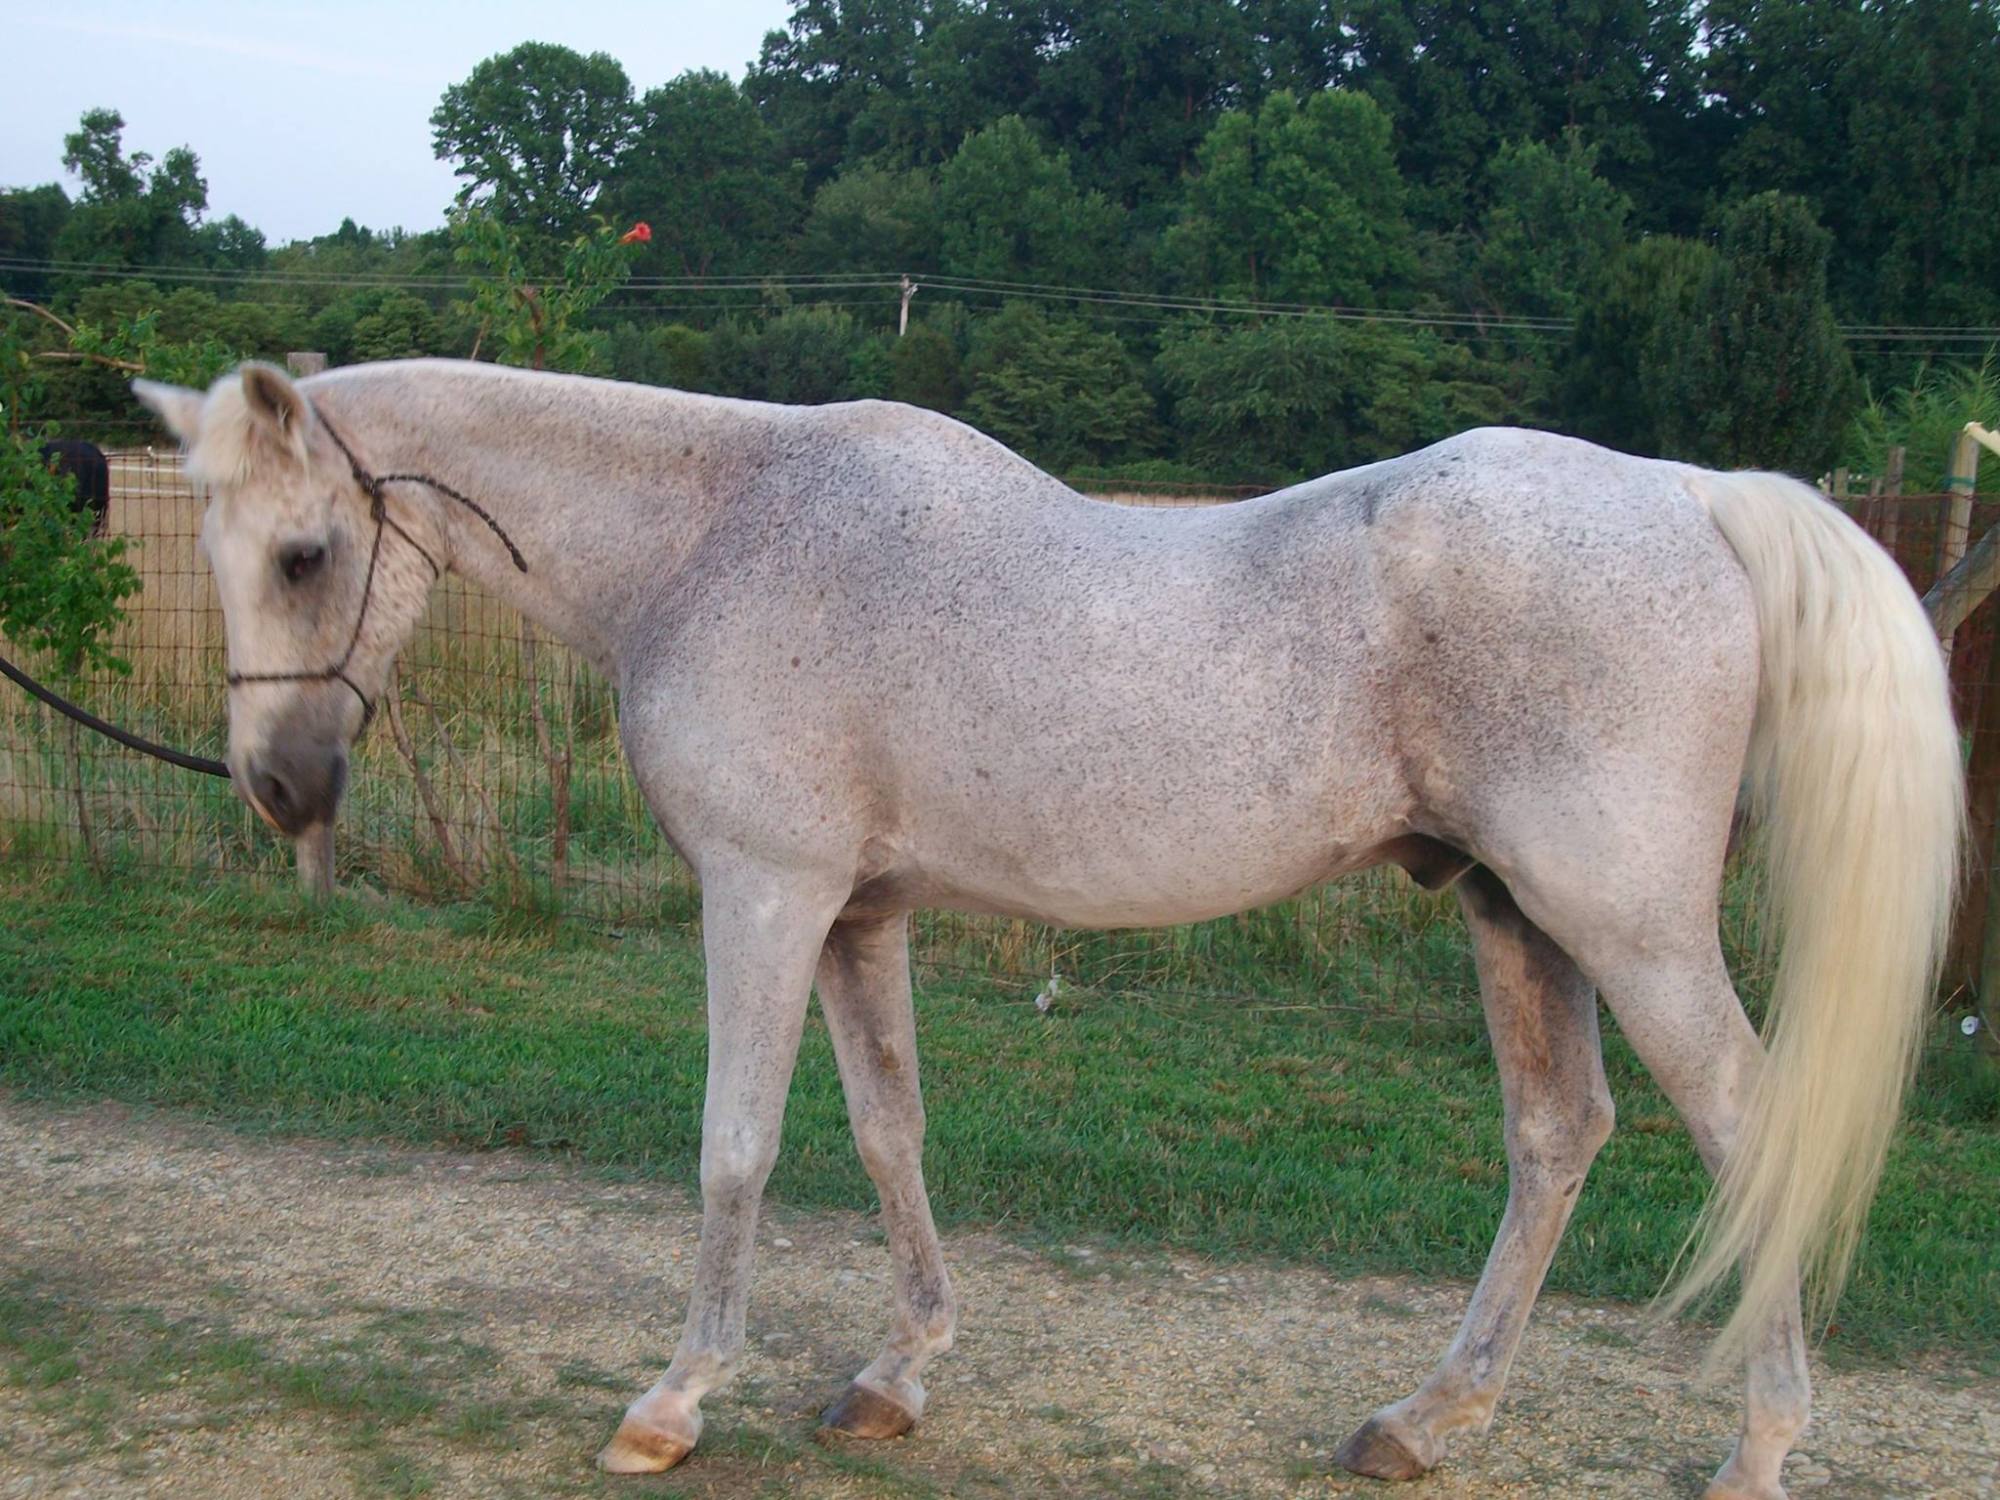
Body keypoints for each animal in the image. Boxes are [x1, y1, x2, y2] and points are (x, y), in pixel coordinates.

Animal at [134, 360, 1961, 1500]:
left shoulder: (766, 895)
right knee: (1556, 1134)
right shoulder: (858, 919)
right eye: (214, 551)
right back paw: (1428, 1421)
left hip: (1626, 929)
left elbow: (735, 1146)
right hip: (1516, 916)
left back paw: (1759, 1449)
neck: (721, 533)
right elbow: (887, 1132)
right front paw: (896, 1376)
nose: (281, 787)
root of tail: (1697, 497)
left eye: (306, 552)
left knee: (1745, 1132)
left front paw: (673, 1402)